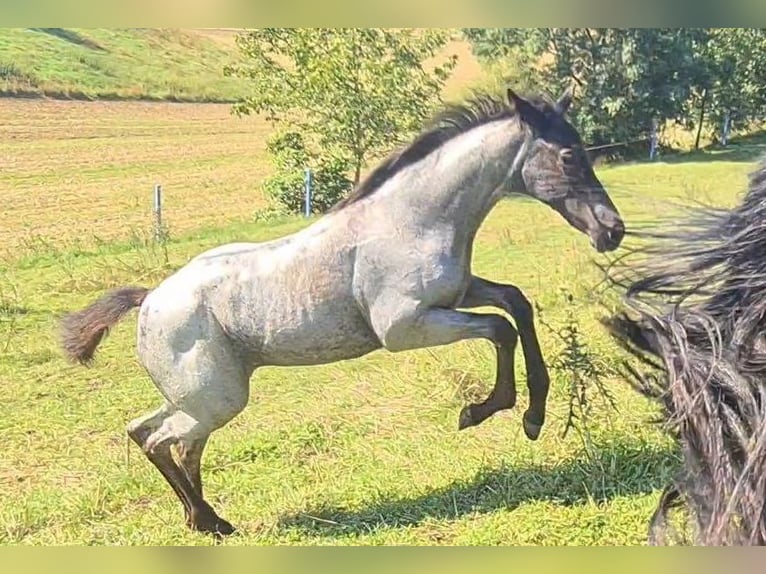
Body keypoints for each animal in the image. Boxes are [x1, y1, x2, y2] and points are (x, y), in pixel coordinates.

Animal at [58, 88, 624, 536]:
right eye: (568, 156)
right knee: (163, 440)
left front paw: (534, 415)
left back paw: (209, 522)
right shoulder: (407, 326)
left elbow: (516, 303)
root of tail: (150, 299)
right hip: (215, 397)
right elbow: (500, 329)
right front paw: (487, 412)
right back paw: (208, 521)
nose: (612, 230)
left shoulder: (457, 295)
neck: (410, 220)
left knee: (152, 435)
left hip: (201, 396)